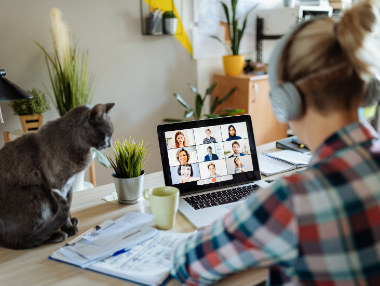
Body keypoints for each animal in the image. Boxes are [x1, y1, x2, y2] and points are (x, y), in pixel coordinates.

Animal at [0, 102, 114, 248]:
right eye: (106, 134)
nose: (110, 144)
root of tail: (1, 239)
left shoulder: (69, 185)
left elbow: (68, 204)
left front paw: (71, 220)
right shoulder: (55, 185)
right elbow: (62, 207)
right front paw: (69, 228)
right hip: (36, 194)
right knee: (25, 239)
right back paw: (57, 234)